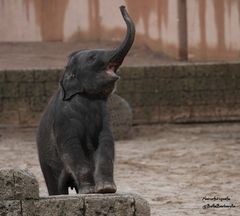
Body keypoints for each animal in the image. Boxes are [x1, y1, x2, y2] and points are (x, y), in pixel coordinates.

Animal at [36, 6, 136, 196]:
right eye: (92, 58)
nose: (122, 7)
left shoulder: (105, 120)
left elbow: (106, 144)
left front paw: (106, 189)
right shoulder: (63, 121)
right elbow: (72, 148)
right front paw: (89, 191)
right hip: (45, 160)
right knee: (55, 186)